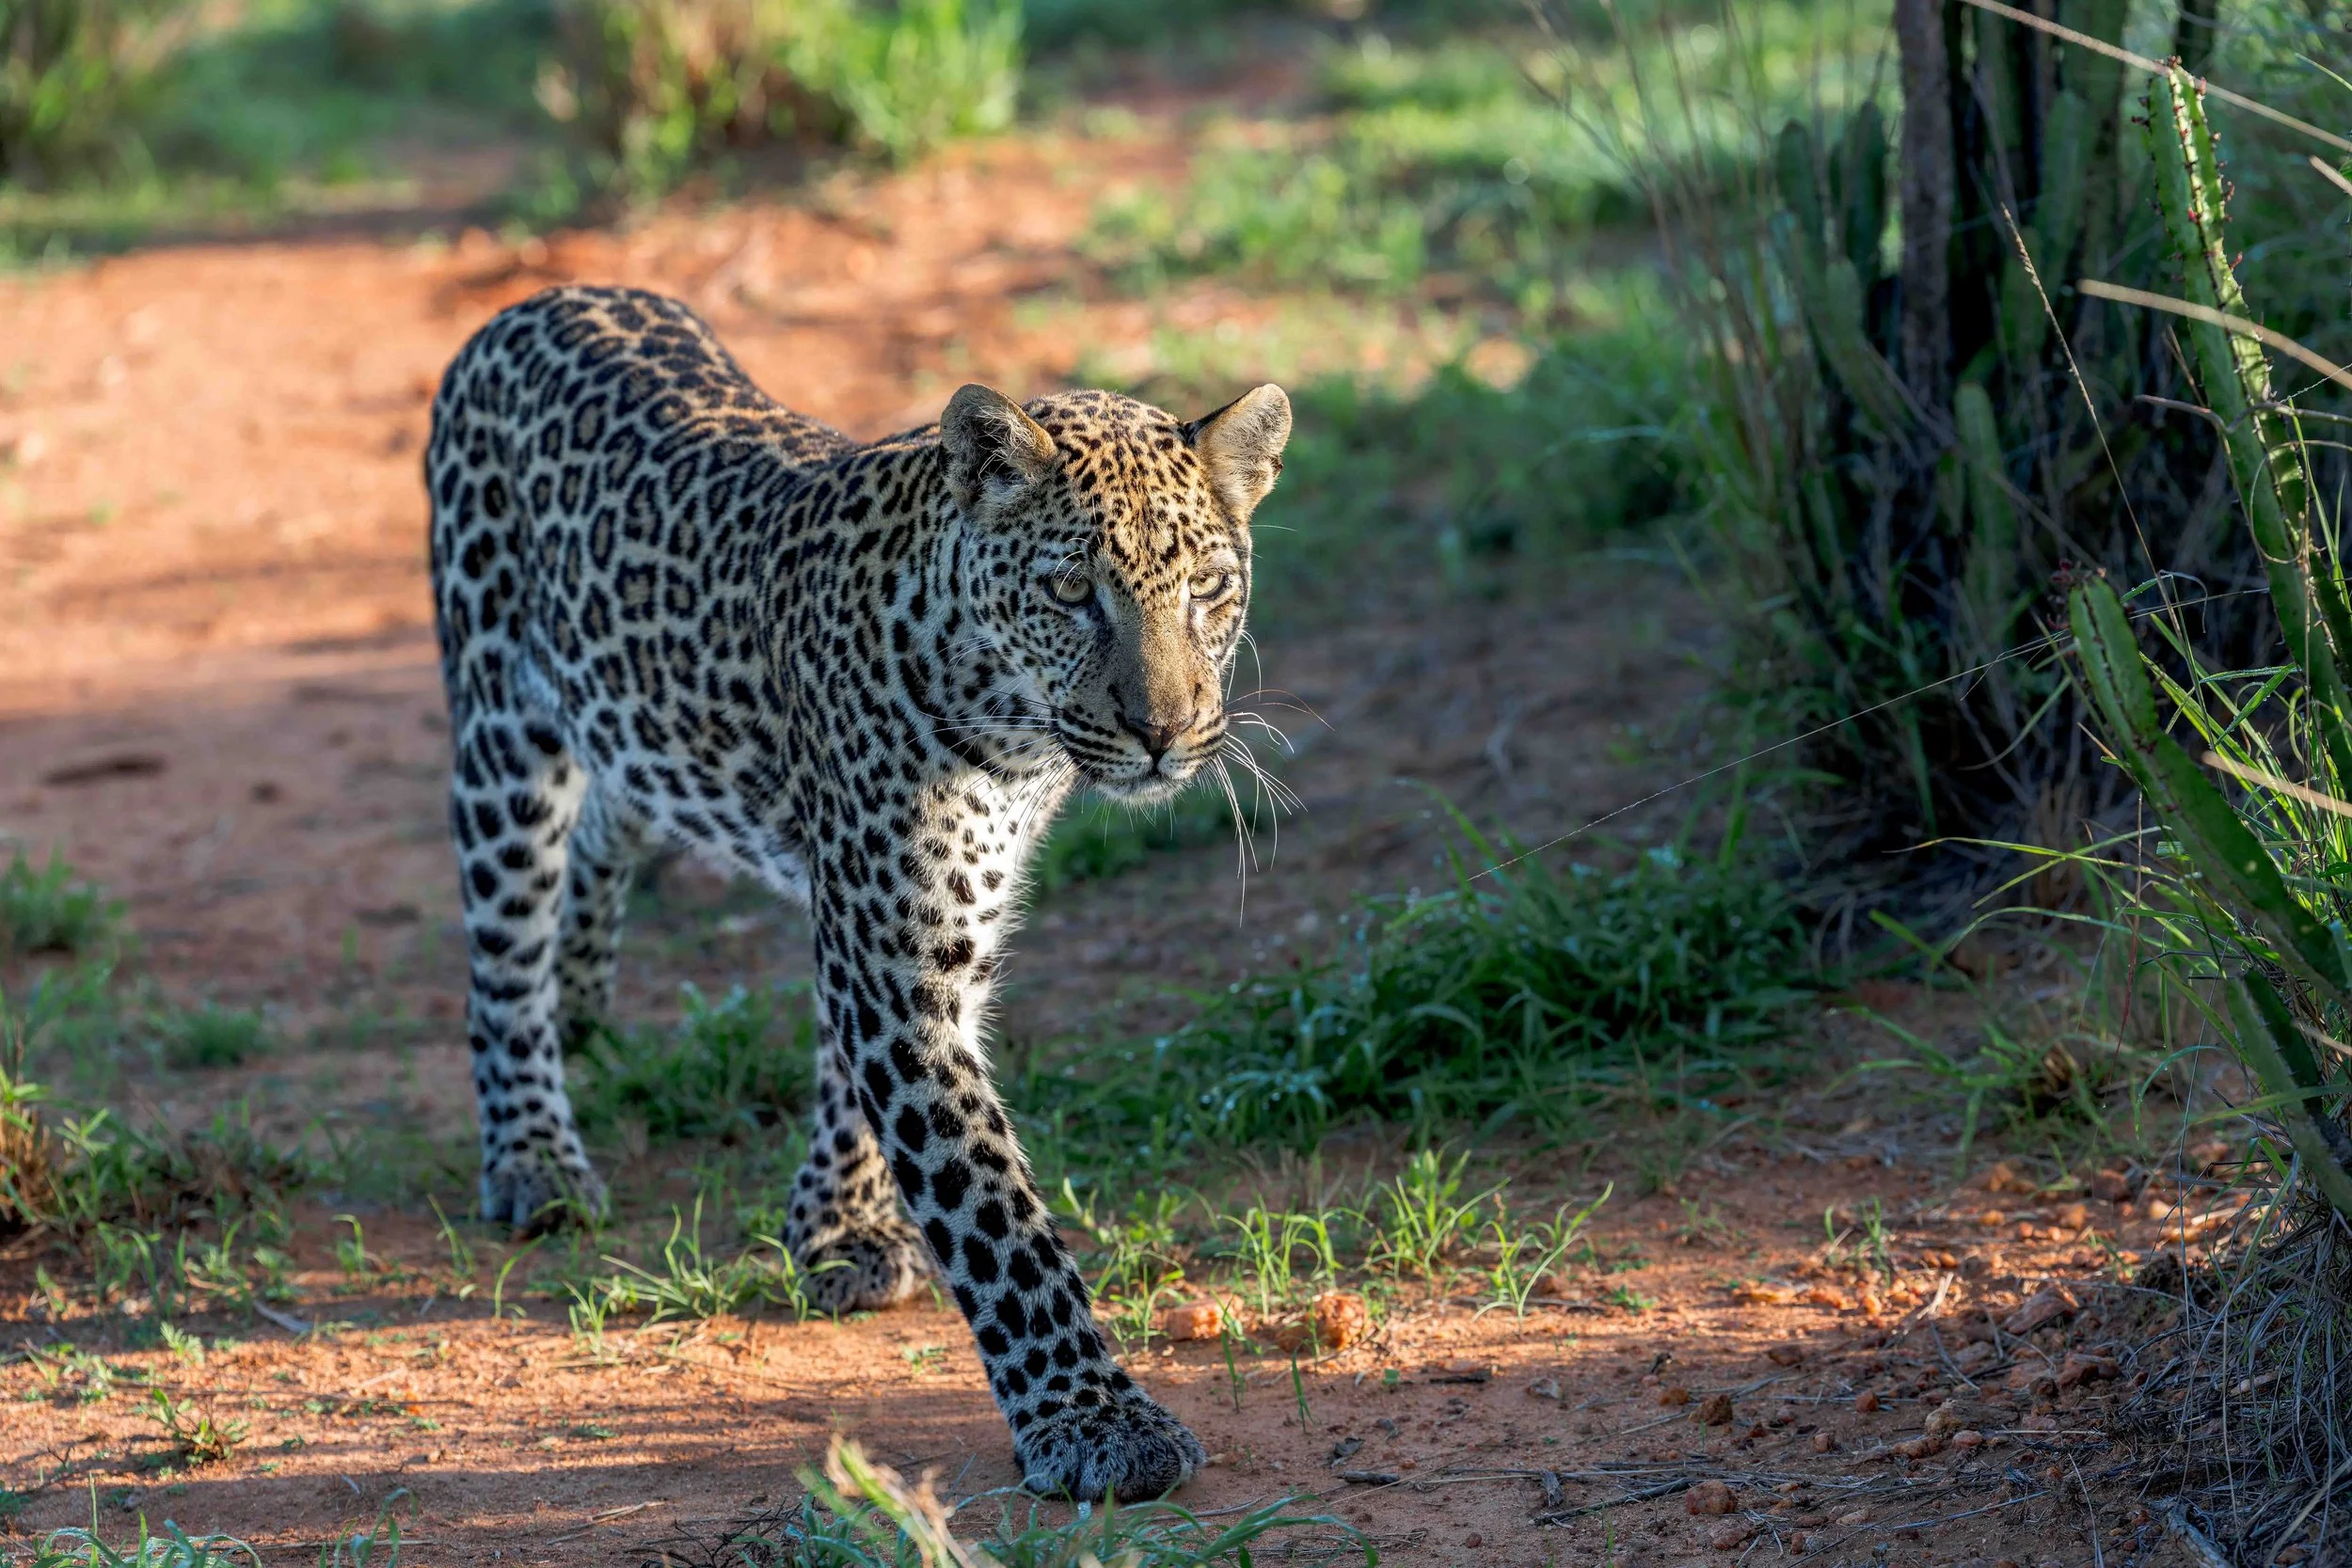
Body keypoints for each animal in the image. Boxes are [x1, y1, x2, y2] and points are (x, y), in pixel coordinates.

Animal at [423, 283, 1289, 1502]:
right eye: (1072, 592)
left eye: (1208, 590)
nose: (1165, 732)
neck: (1012, 733)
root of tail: (538, 299)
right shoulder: (890, 957)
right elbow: (994, 1213)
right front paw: (1095, 1420)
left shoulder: (928, 928)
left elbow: (859, 1092)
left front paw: (836, 1226)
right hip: (502, 724)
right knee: (501, 951)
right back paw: (534, 1155)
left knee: (612, 812)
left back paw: (584, 993)